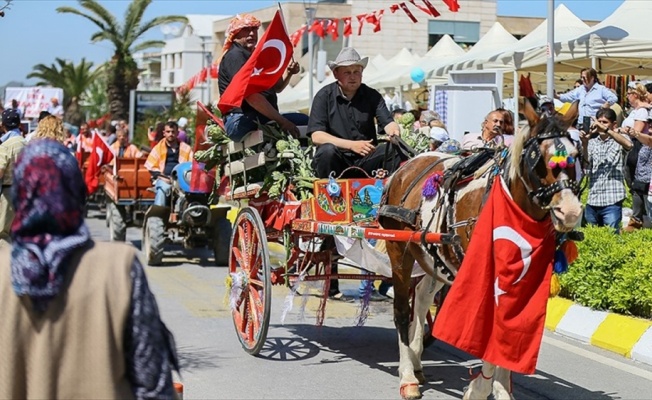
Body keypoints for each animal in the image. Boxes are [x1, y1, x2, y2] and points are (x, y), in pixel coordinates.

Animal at [380, 98, 584, 398]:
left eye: (575, 156)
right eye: (537, 159)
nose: (569, 212)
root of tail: (407, 165)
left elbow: (506, 329)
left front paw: (500, 388)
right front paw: (480, 387)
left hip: (436, 256)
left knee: (422, 297)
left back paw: (416, 361)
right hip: (399, 251)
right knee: (402, 311)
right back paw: (407, 376)